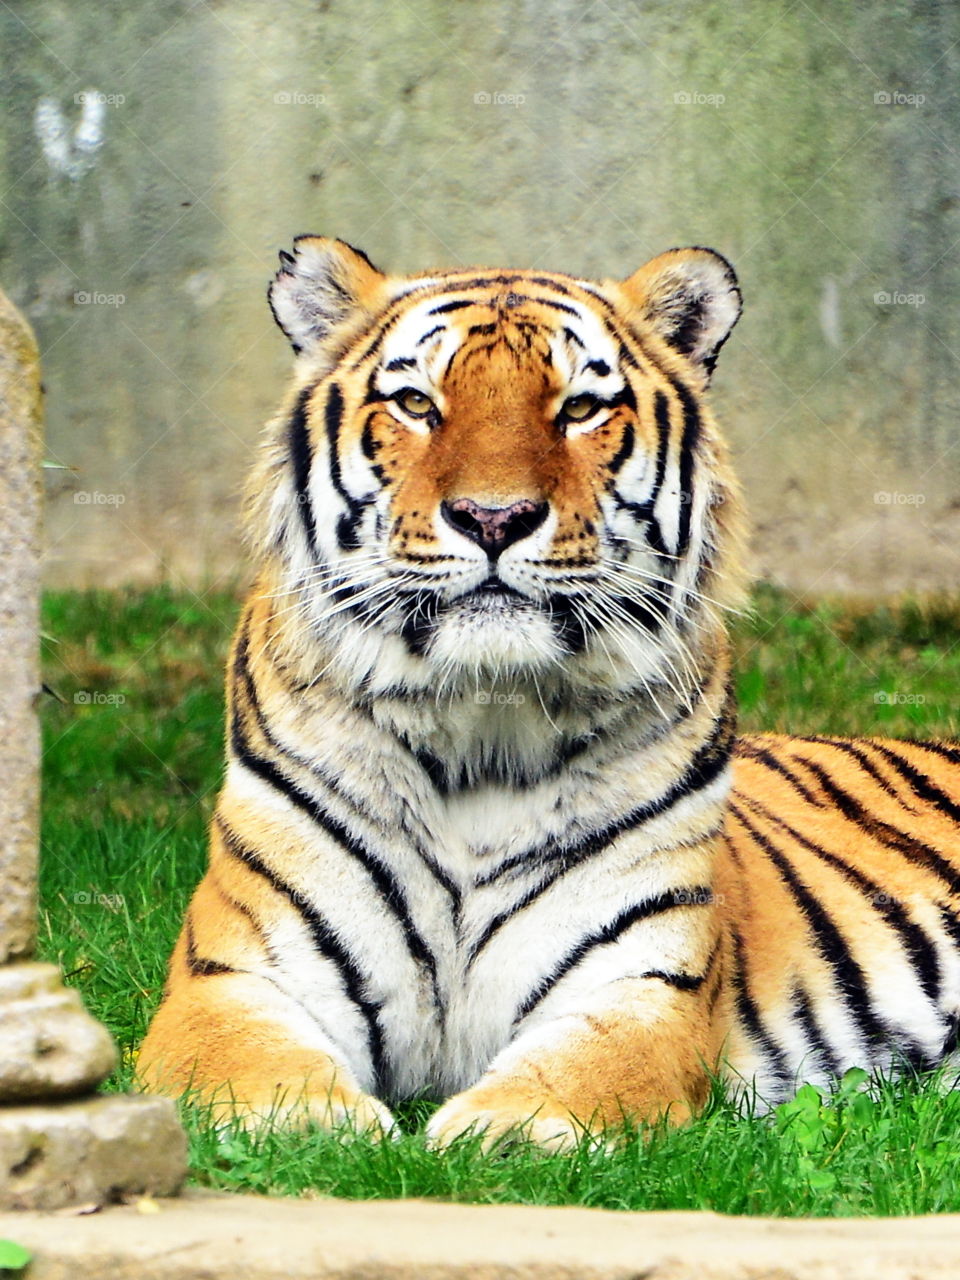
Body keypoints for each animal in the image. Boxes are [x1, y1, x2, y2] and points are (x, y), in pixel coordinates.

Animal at [138, 236, 960, 1151]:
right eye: (416, 403)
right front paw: (323, 1129)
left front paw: (491, 1133)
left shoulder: (641, 984)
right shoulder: (233, 974)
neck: (479, 730)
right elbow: (255, 1081)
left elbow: (570, 1085)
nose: (494, 518)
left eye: (580, 409)